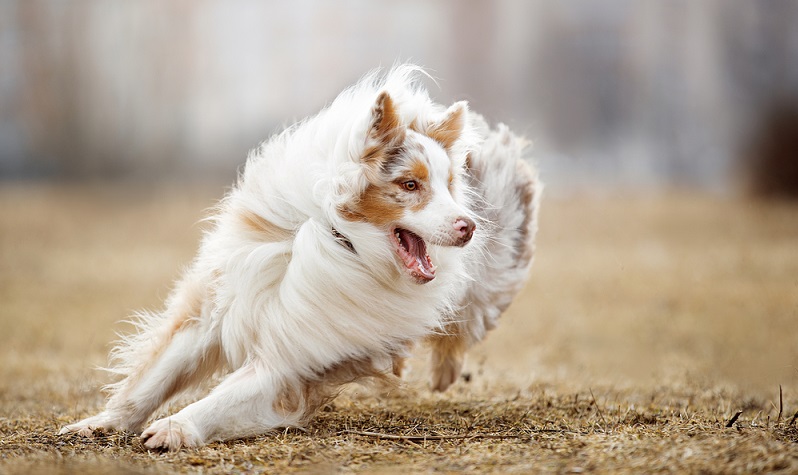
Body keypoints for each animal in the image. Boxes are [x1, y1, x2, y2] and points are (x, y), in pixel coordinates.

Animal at [59, 64, 540, 450]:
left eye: (447, 184)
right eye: (410, 185)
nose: (469, 226)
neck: (336, 237)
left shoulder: (290, 357)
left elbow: (221, 398)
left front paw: (176, 427)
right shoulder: (215, 310)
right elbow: (154, 379)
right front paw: (101, 423)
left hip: (489, 283)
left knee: (465, 323)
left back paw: (443, 371)